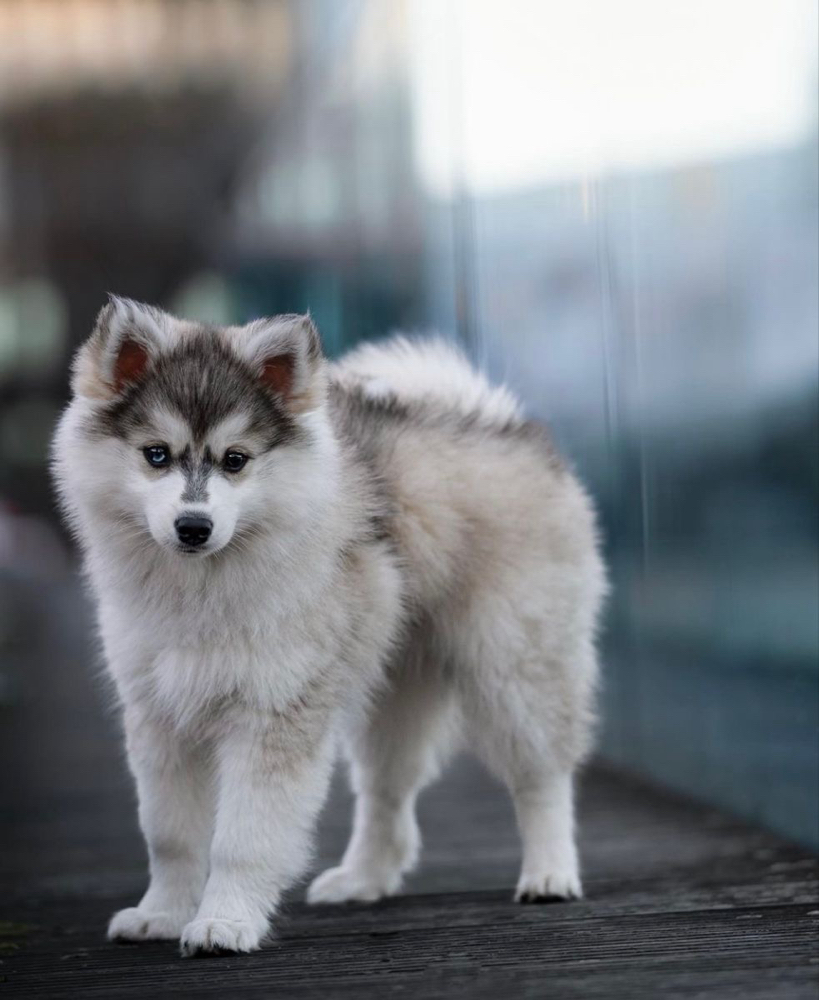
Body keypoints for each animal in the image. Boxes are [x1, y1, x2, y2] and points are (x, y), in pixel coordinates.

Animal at [49, 298, 604, 960]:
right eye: (156, 454)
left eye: (235, 460)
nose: (193, 526)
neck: (205, 583)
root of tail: (499, 417)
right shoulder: (160, 716)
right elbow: (169, 835)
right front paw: (161, 913)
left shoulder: (273, 712)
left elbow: (242, 839)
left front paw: (224, 923)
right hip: (393, 693)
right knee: (386, 792)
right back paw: (363, 879)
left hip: (515, 663)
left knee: (541, 773)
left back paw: (550, 872)